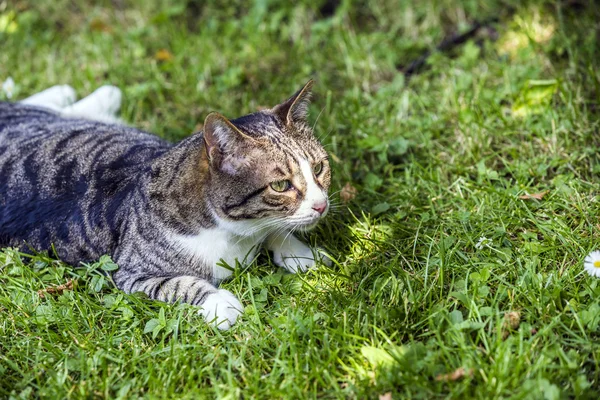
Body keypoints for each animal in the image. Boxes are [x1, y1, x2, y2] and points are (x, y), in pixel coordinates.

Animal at [0, 81, 332, 328]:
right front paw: (221, 303)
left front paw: (298, 252)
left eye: (319, 168)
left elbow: (277, 229)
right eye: (281, 186)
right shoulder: (130, 271)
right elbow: (178, 285)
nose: (321, 205)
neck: (236, 232)